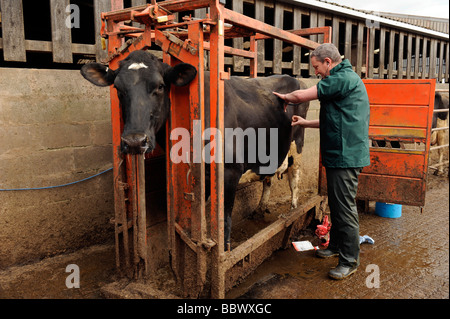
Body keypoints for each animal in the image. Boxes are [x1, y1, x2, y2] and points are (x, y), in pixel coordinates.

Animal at [81, 50, 308, 250]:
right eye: (118, 88)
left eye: (160, 86)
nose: (135, 141)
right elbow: (201, 215)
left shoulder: (230, 171)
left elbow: (224, 217)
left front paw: (224, 250)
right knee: (269, 177)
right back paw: (261, 209)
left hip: (298, 143)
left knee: (295, 177)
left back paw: (293, 213)